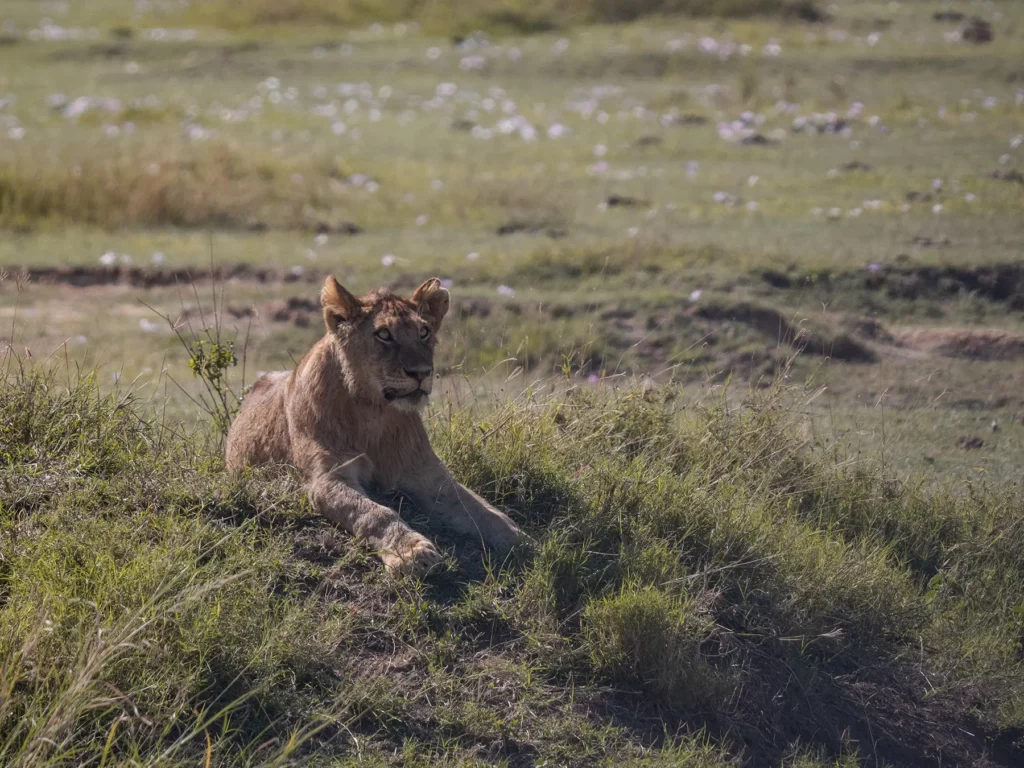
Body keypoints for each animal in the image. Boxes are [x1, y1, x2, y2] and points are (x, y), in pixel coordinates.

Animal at [225, 276, 526, 576]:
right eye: (383, 334)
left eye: (424, 332)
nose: (421, 373)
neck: (374, 413)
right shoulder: (326, 478)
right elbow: (376, 513)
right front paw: (411, 551)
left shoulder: (431, 475)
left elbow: (484, 511)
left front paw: (523, 542)